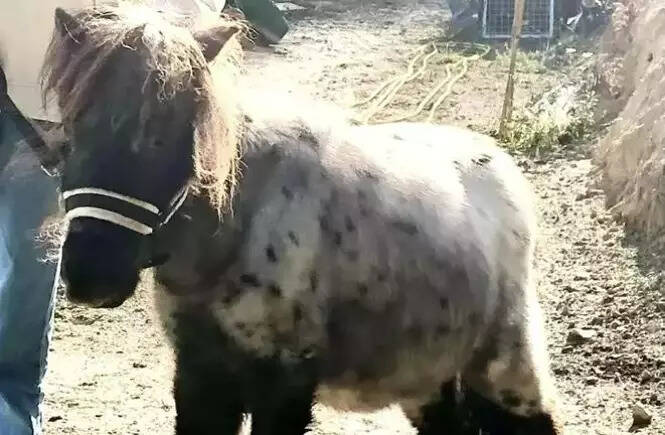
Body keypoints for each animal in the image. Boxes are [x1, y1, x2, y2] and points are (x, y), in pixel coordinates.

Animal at [42, 5, 564, 434]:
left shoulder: (284, 382)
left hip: (506, 367)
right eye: (71, 129)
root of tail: (502, 165)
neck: (231, 234)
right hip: (426, 376)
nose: (91, 276)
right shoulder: (200, 376)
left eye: (167, 135)